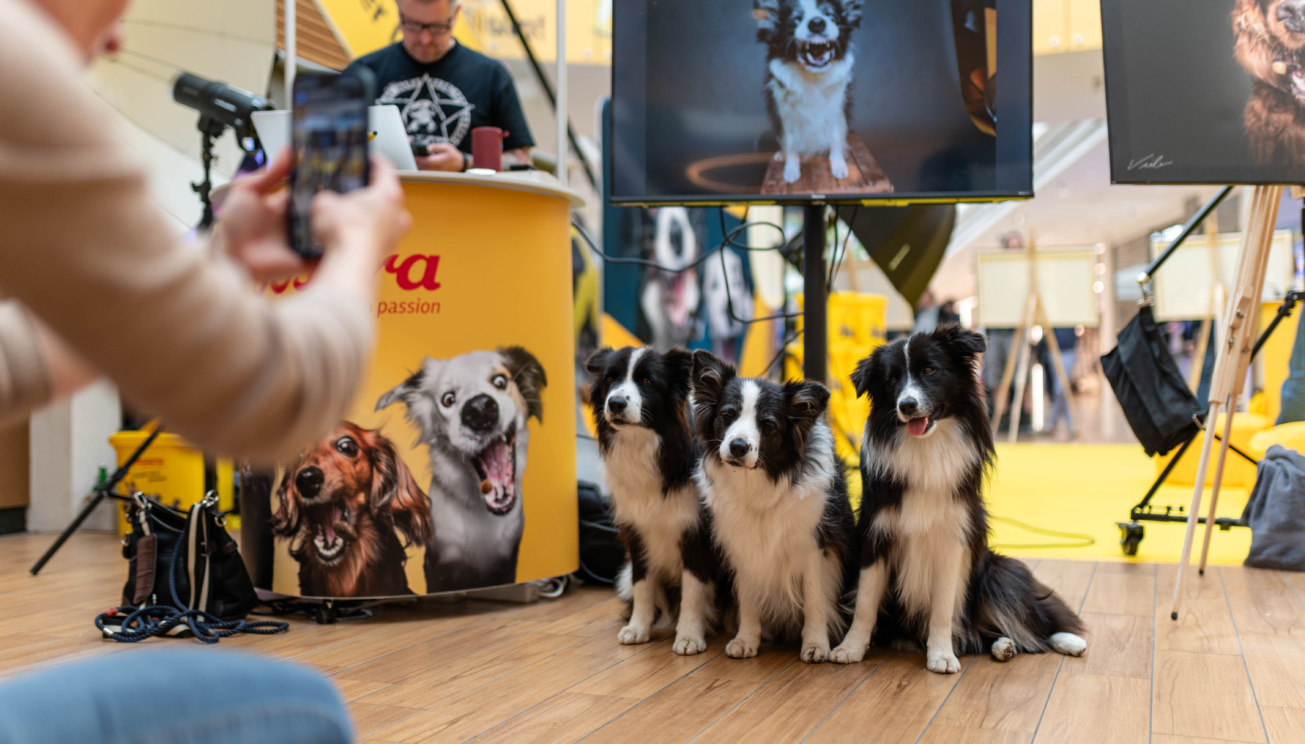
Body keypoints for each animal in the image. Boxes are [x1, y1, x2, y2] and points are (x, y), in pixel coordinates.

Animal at [378, 341, 545, 589]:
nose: (480, 409)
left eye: (500, 381)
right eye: (448, 399)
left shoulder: (507, 560)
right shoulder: (438, 564)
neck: (481, 512)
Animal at [756, 0, 866, 182]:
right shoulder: (786, 117)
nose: (817, 23)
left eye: (832, 17)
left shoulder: (837, 112)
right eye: (795, 21)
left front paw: (838, 165)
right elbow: (791, 143)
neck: (813, 77)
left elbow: (836, 140)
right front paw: (791, 169)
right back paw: (781, 154)